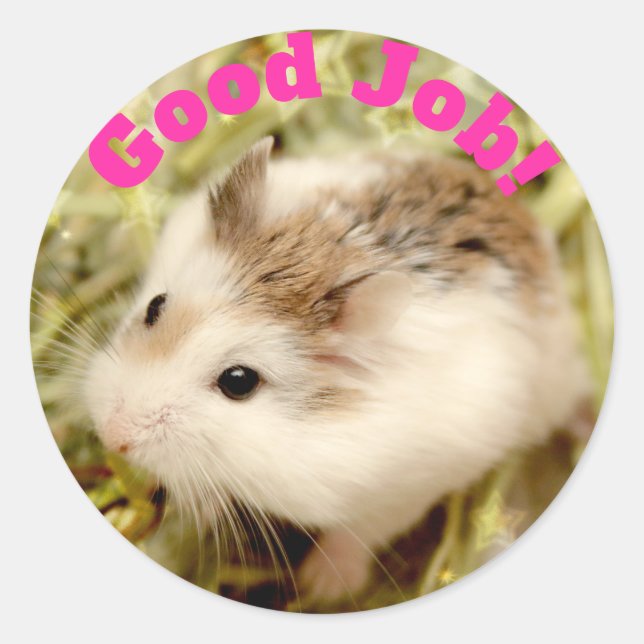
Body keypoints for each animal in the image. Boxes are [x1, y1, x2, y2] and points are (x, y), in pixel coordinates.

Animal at [84, 137, 589, 602]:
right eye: (154, 306)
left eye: (238, 382)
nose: (111, 436)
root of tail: (515, 210)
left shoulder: (404, 489)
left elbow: (357, 535)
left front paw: (321, 588)